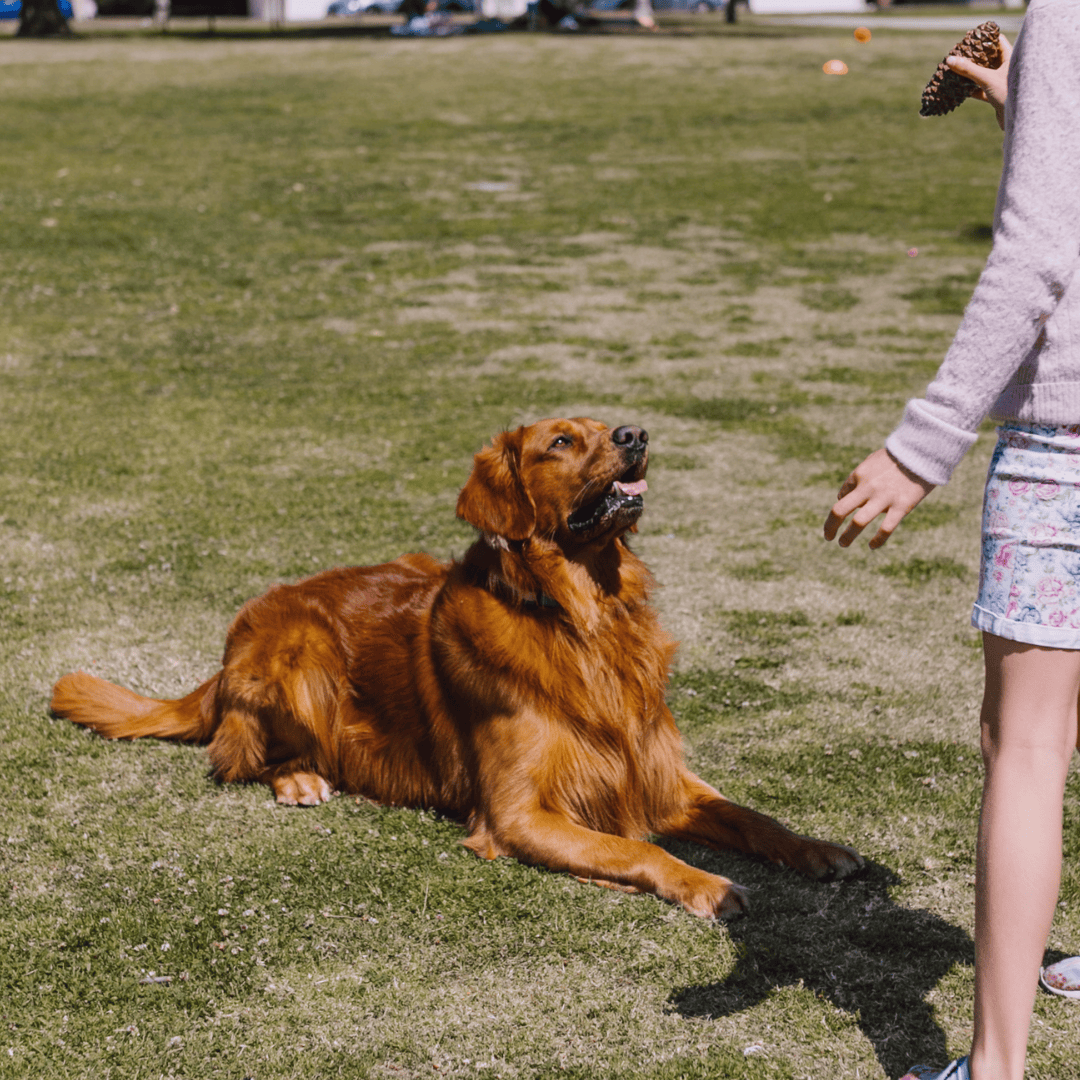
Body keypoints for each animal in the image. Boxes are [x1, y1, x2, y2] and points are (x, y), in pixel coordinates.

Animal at [50, 416, 864, 915]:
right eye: (561, 440)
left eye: (609, 425)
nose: (636, 435)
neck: (580, 617)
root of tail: (228, 650)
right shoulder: (520, 813)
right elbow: (635, 848)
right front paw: (702, 885)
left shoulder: (654, 768)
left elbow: (750, 815)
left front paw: (816, 849)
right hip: (302, 655)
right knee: (237, 757)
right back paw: (300, 778)